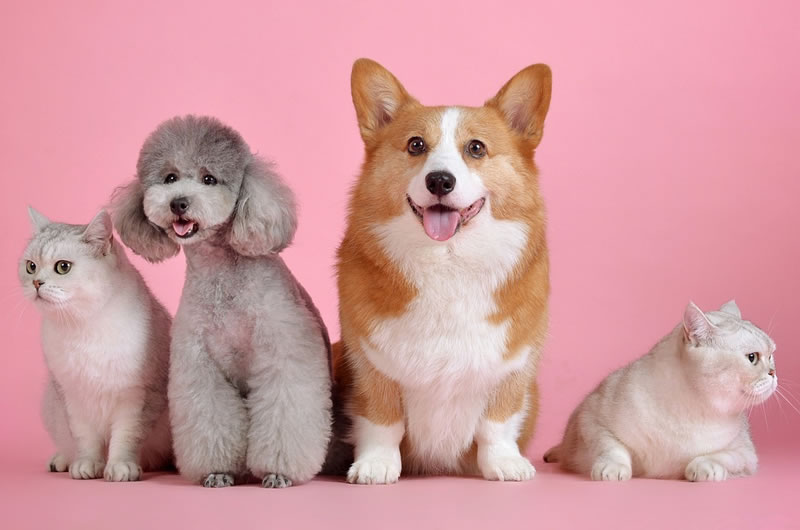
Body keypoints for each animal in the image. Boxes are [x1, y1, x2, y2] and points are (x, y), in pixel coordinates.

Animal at [19, 206, 172, 478]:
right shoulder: (71, 395)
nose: (36, 283)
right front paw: (87, 464)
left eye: (63, 267)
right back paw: (61, 461)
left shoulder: (137, 396)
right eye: (31, 266)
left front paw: (120, 466)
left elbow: (126, 436)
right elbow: (85, 438)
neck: (82, 326)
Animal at [334, 58, 552, 482]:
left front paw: (504, 463)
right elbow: (382, 420)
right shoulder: (368, 363)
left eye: (476, 148)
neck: (448, 262)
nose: (439, 180)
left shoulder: (514, 365)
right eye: (416, 145)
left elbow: (497, 423)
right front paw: (376, 466)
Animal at [544, 302, 776, 478]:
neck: (692, 410)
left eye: (771, 355)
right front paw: (612, 469)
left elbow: (722, 456)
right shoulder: (591, 418)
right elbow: (611, 447)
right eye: (752, 357)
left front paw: (703, 467)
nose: (773, 373)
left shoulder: (746, 453)